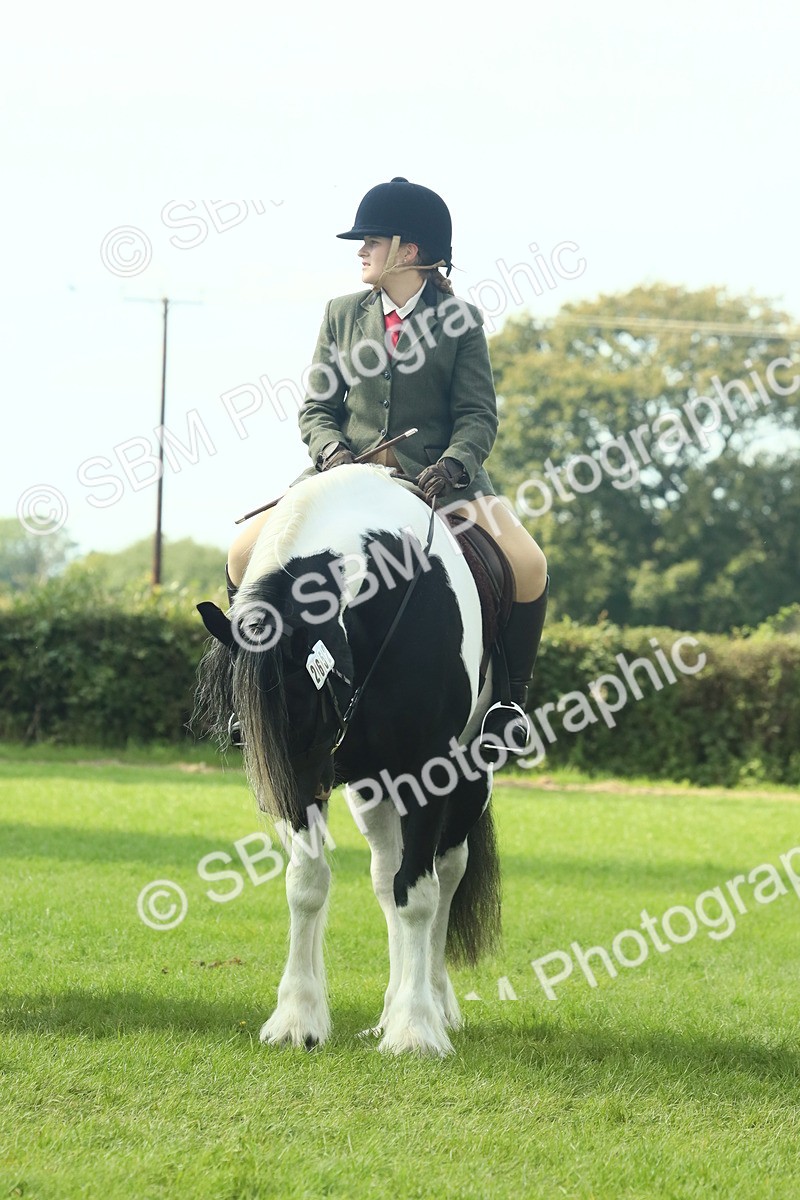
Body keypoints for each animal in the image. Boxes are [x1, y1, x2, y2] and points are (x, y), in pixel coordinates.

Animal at [193, 463, 506, 1056]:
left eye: (301, 694)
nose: (281, 797)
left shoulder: (426, 768)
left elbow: (419, 893)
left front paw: (415, 1030)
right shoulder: (311, 780)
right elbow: (308, 884)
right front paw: (298, 1019)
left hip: (469, 773)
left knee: (445, 872)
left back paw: (434, 1004)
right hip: (371, 784)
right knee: (386, 876)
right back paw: (386, 1011)